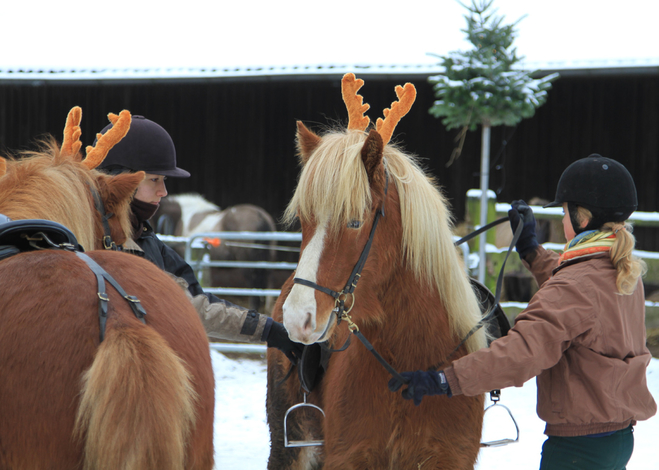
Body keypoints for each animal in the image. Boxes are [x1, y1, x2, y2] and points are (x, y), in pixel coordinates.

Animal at [266, 75, 488, 468]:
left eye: (355, 221)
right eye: (305, 220)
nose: (297, 318)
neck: (410, 366)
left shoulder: (447, 457)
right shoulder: (349, 455)